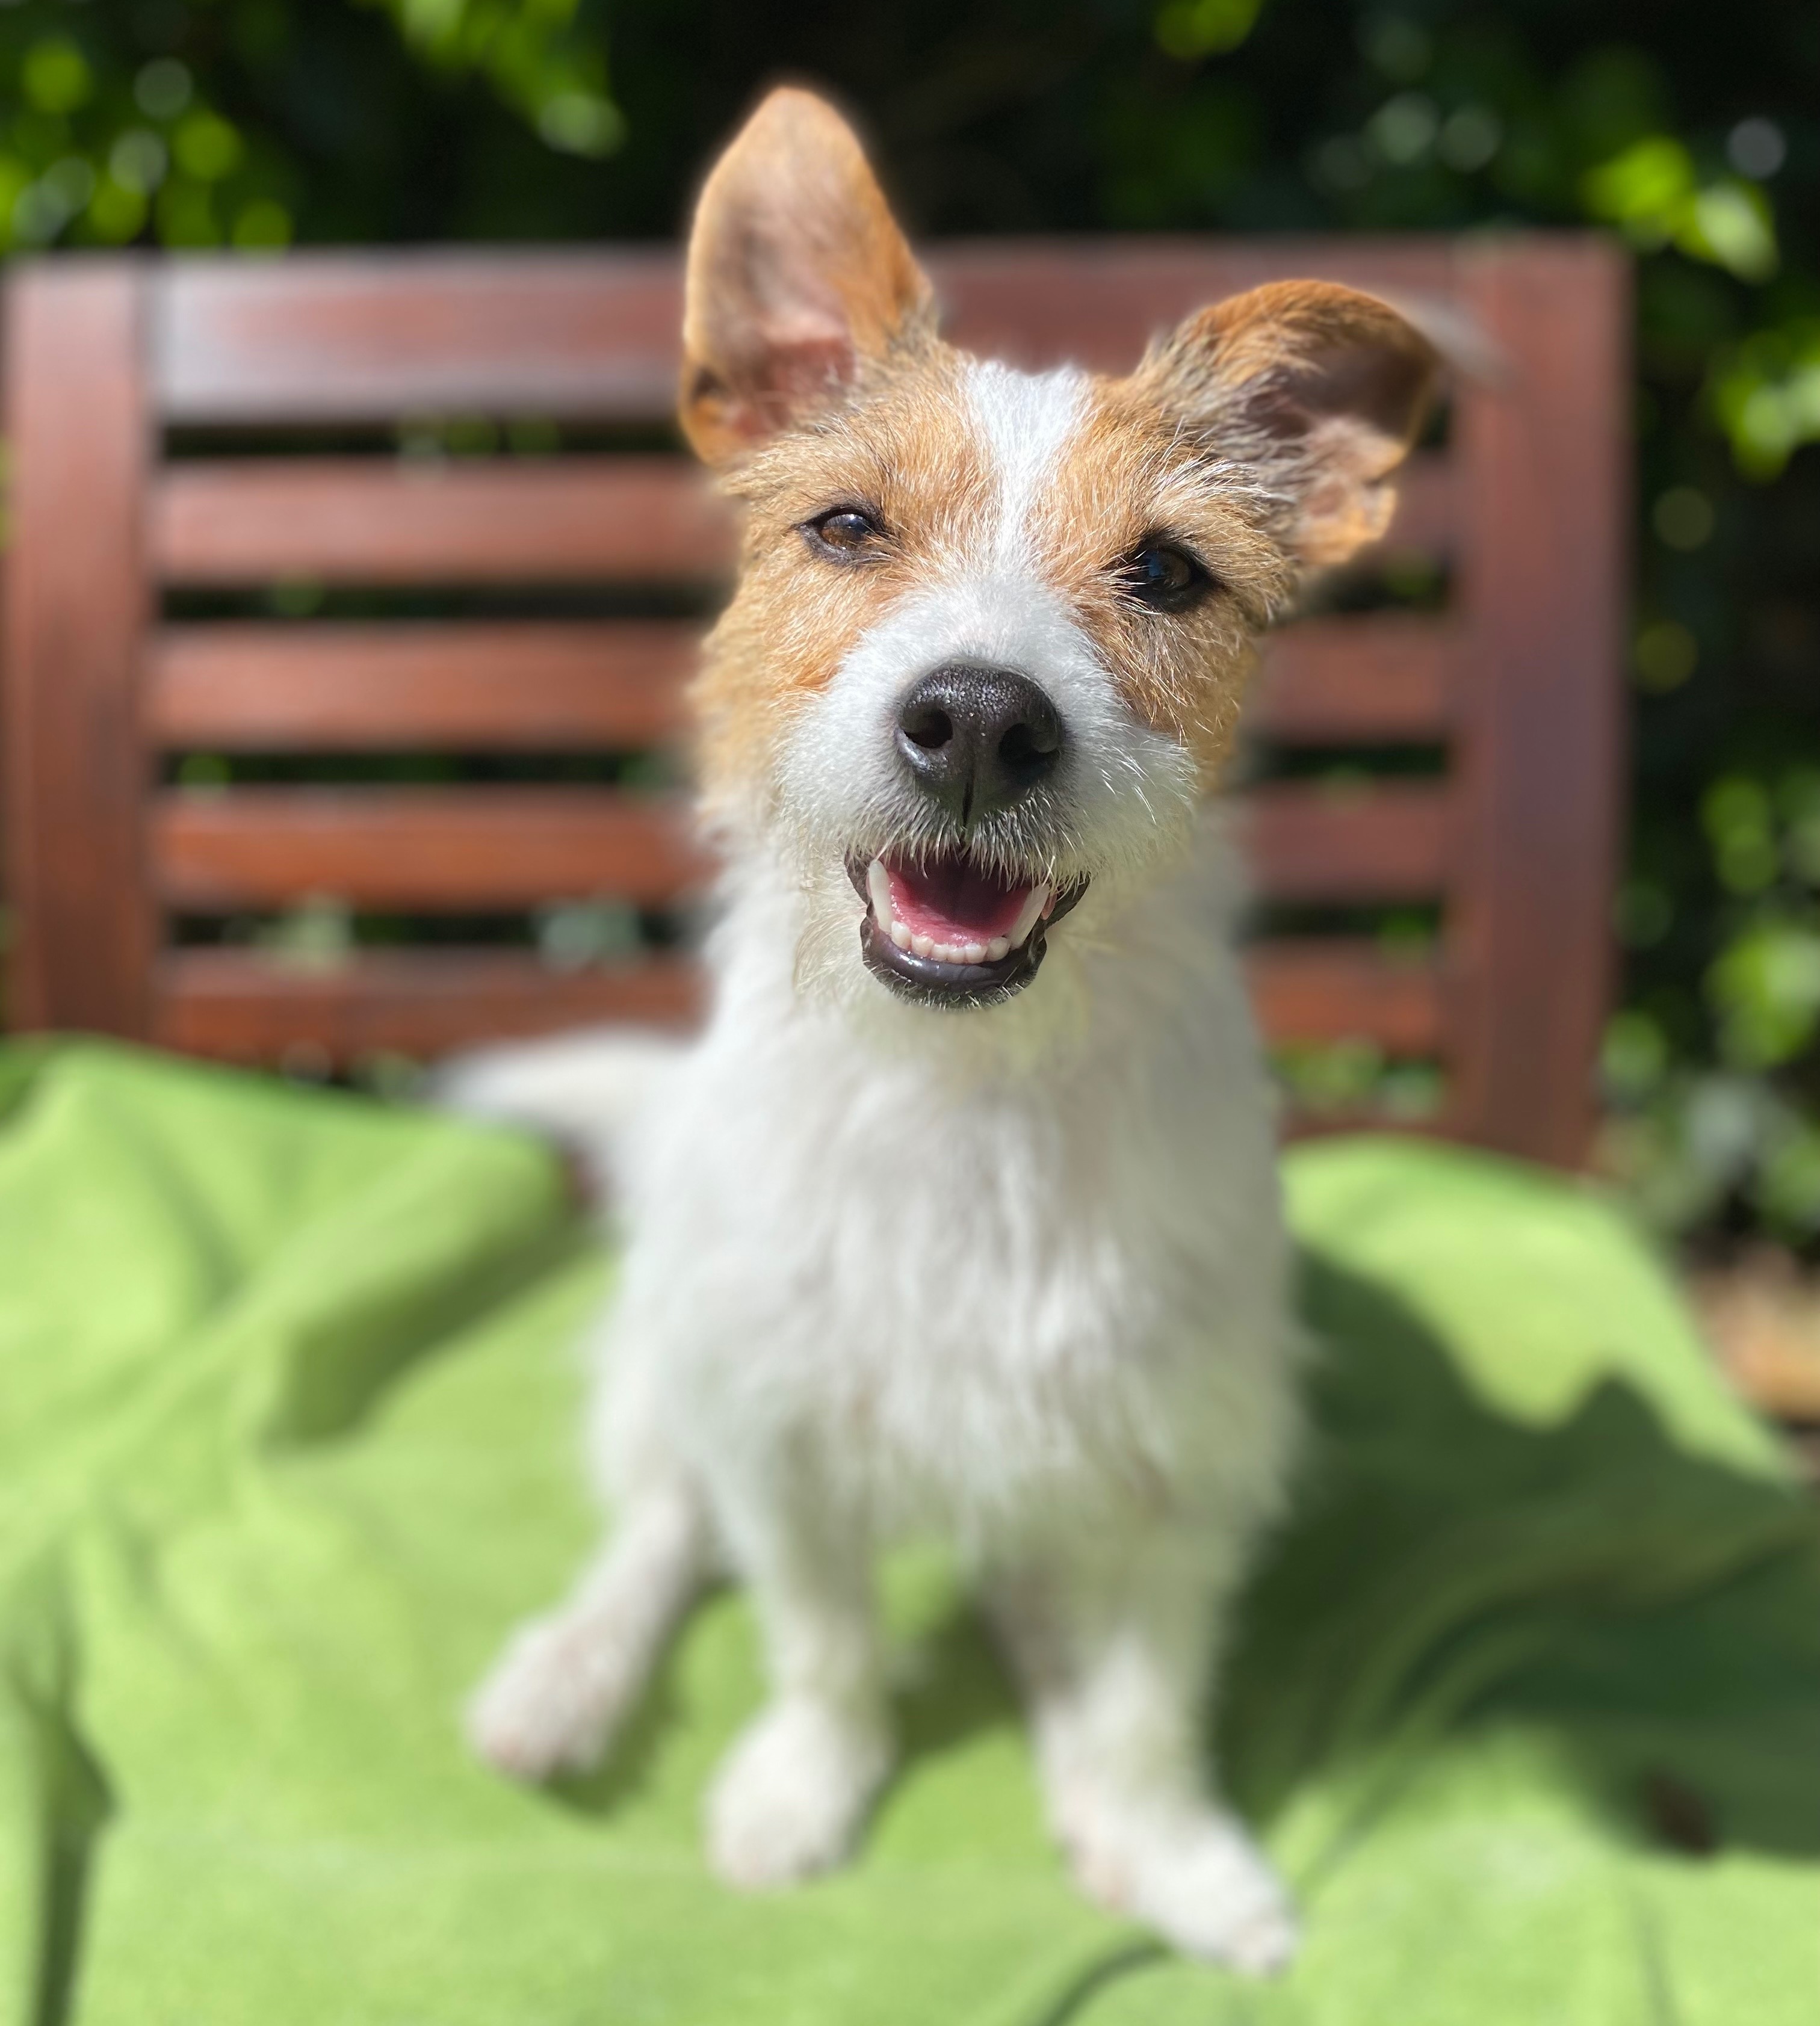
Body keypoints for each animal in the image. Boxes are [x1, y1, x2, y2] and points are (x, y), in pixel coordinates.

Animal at [458, 87, 1435, 1969]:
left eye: (1169, 570)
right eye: (847, 528)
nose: (980, 719)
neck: (971, 1093)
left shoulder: (1186, 1467)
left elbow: (1146, 1702)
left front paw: (1171, 1847)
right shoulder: (776, 1429)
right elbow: (821, 1639)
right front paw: (800, 1792)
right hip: (670, 1353)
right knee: (653, 1530)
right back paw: (566, 1677)